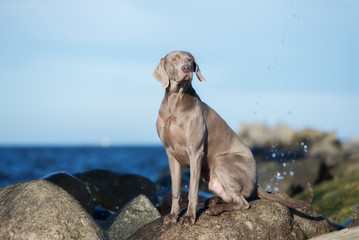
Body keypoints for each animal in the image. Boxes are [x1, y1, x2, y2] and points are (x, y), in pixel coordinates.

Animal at [153, 50, 314, 227]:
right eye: (174, 59)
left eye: (190, 60)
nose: (186, 68)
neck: (175, 102)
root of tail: (256, 183)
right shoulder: (171, 155)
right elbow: (175, 190)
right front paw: (173, 215)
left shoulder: (195, 152)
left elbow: (193, 192)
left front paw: (189, 217)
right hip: (209, 174)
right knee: (232, 197)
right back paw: (213, 201)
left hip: (221, 162)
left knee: (243, 202)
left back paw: (216, 208)